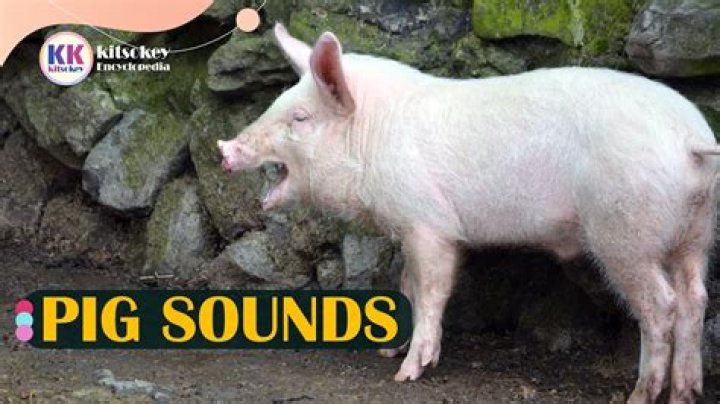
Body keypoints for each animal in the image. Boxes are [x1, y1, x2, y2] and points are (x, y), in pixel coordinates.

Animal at [217, 23, 719, 403]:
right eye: (276, 103)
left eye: (300, 118)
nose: (225, 148)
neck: (370, 135)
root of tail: (690, 138)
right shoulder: (413, 227)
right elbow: (409, 285)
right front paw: (387, 353)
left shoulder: (428, 222)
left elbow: (431, 289)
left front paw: (404, 373)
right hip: (696, 233)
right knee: (695, 299)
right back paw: (686, 393)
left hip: (627, 234)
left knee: (662, 305)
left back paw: (640, 395)